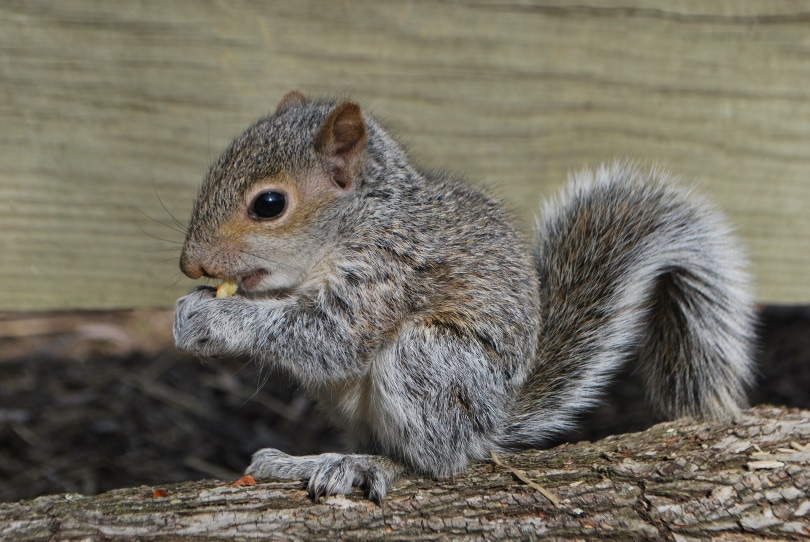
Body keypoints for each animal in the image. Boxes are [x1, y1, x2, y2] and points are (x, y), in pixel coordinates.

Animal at [174, 91, 756, 504]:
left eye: (269, 204)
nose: (191, 265)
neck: (355, 223)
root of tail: (492, 422)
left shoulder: (389, 272)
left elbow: (331, 337)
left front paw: (212, 318)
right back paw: (303, 461)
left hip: (429, 361)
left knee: (437, 460)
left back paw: (368, 466)